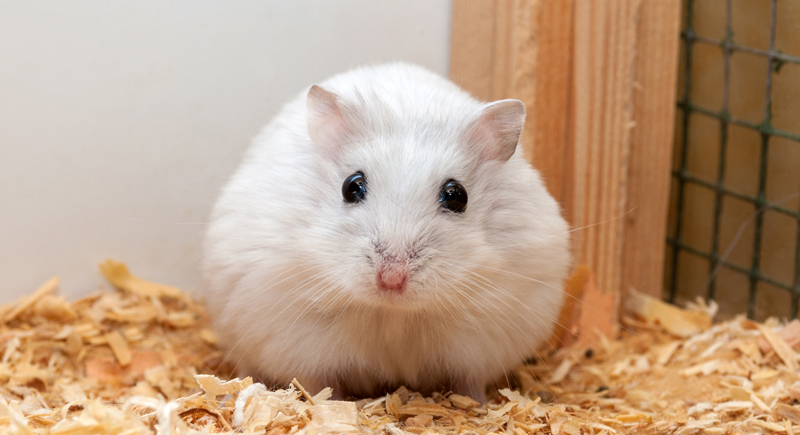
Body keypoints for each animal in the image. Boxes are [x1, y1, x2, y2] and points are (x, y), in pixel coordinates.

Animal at [202, 63, 571, 402]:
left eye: (457, 195)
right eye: (351, 186)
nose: (392, 279)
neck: (393, 313)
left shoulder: (487, 338)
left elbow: (469, 383)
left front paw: (477, 406)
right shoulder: (297, 338)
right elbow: (320, 385)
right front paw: (331, 406)